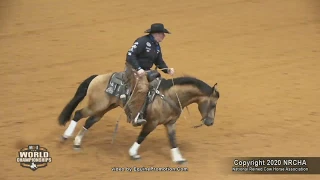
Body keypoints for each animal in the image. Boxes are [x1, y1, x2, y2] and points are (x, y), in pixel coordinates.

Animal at [57, 69, 220, 165]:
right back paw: (66, 136)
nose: (210, 122)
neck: (169, 96)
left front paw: (178, 158)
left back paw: (77, 142)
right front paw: (133, 153)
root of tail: (97, 77)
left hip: (104, 108)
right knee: (78, 114)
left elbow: (173, 140)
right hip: (96, 106)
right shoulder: (151, 122)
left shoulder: (170, 123)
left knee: (90, 121)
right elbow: (142, 136)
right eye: (213, 105)